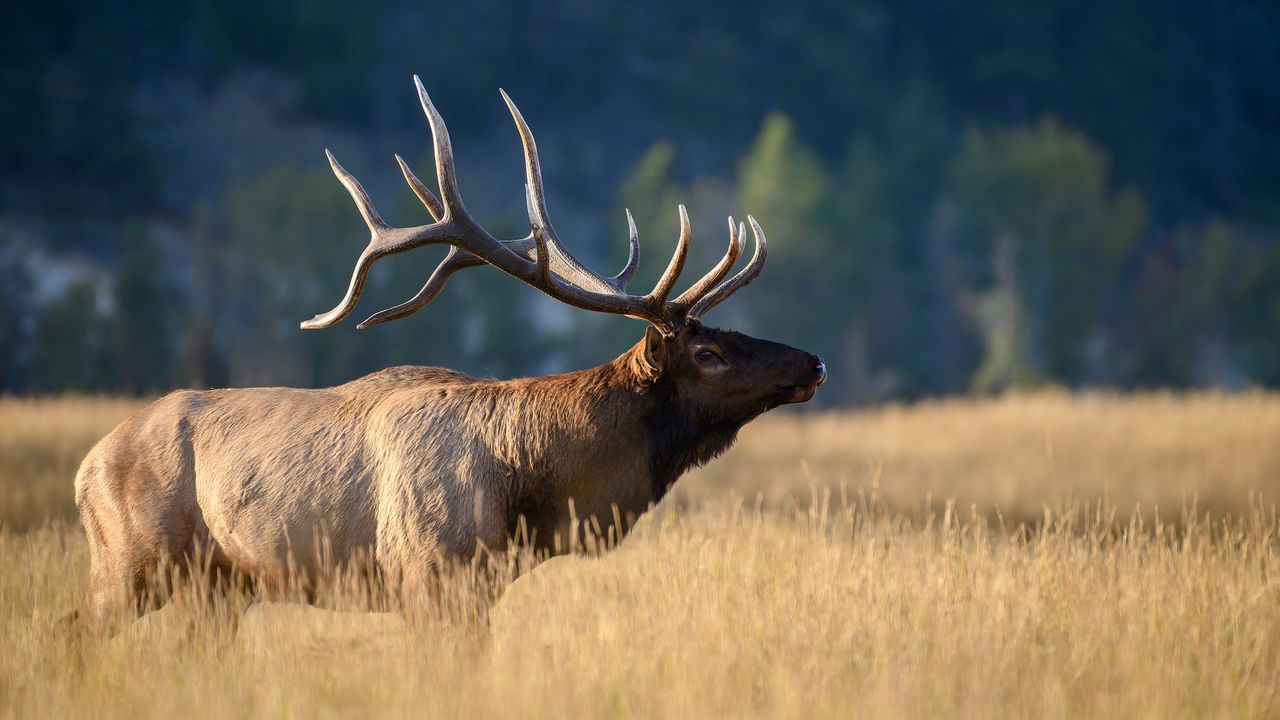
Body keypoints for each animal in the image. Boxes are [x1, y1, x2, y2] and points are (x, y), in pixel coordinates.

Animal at [70, 76, 826, 628]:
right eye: (707, 352)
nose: (813, 363)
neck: (533, 490)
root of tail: (86, 468)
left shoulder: (479, 588)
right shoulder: (428, 577)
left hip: (217, 589)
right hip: (128, 565)